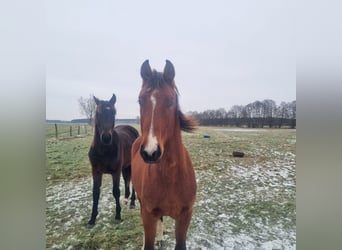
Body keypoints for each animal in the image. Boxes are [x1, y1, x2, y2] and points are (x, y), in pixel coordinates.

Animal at [87, 94, 139, 227]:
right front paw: (92, 219)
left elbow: (115, 191)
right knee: (127, 179)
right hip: (125, 166)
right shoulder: (96, 171)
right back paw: (125, 199)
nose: (106, 138)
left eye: (113, 113)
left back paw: (132, 202)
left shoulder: (115, 172)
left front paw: (118, 215)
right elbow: (95, 193)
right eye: (98, 113)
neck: (104, 151)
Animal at [133, 59, 199, 249]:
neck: (171, 176)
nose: (150, 152)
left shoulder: (185, 217)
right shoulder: (148, 215)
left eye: (170, 101)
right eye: (140, 100)